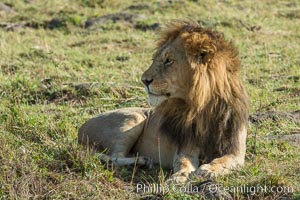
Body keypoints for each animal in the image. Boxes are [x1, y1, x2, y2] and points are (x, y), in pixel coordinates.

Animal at [77, 20, 248, 183]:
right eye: (155, 59)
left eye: (168, 61)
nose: (144, 80)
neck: (205, 107)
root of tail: (80, 129)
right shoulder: (185, 148)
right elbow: (183, 162)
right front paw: (179, 176)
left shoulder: (236, 152)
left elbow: (224, 160)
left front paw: (208, 169)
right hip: (134, 118)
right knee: (112, 157)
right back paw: (142, 161)